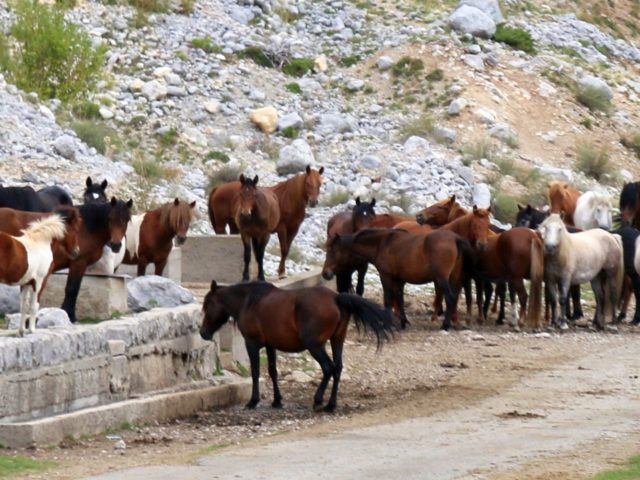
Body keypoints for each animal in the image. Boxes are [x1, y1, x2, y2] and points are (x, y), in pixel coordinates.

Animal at [200, 282, 392, 412]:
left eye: (207, 304)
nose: (203, 333)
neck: (248, 302)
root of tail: (336, 298)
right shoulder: (270, 345)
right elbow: (272, 371)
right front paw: (277, 400)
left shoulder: (252, 344)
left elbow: (255, 372)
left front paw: (253, 401)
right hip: (337, 341)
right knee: (337, 368)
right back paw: (331, 405)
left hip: (315, 345)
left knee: (328, 367)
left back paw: (318, 400)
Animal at [324, 229, 470, 330]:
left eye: (333, 251)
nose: (326, 273)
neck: (381, 244)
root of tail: (455, 238)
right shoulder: (398, 280)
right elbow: (399, 299)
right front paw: (403, 322)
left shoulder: (386, 276)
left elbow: (388, 300)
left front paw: (387, 323)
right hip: (453, 278)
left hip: (442, 279)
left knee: (450, 298)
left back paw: (445, 325)